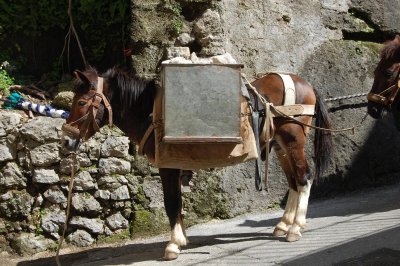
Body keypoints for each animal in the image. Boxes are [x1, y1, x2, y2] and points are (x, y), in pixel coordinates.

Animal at [61, 66, 332, 260]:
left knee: (304, 178)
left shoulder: (168, 166)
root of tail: (304, 83)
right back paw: (284, 225)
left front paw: (173, 245)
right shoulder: (174, 165)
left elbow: (171, 203)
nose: (66, 141)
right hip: (280, 146)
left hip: (293, 141)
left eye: (81, 102)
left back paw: (295, 229)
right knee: (293, 181)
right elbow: (178, 204)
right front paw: (181, 239)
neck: (152, 112)